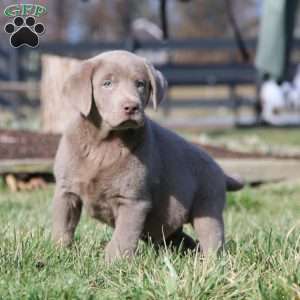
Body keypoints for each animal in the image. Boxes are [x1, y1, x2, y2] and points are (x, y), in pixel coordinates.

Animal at [52, 50, 244, 262]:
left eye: (140, 84)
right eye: (107, 83)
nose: (131, 107)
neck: (104, 143)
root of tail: (221, 170)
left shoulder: (133, 201)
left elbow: (123, 235)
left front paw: (113, 262)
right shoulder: (66, 190)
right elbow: (63, 225)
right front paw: (59, 252)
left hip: (207, 205)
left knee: (212, 238)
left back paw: (210, 263)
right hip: (169, 221)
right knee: (181, 240)